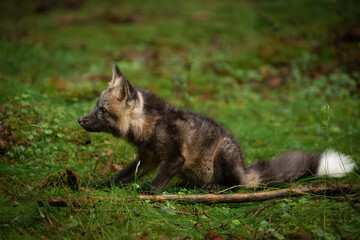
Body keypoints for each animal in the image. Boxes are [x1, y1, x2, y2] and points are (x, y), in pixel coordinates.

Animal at [77, 64, 356, 195]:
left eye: (102, 110)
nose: (80, 120)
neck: (151, 126)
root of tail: (244, 168)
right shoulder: (147, 158)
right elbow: (121, 176)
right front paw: (98, 185)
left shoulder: (174, 158)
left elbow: (156, 183)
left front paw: (147, 194)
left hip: (223, 154)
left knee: (235, 186)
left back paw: (215, 188)